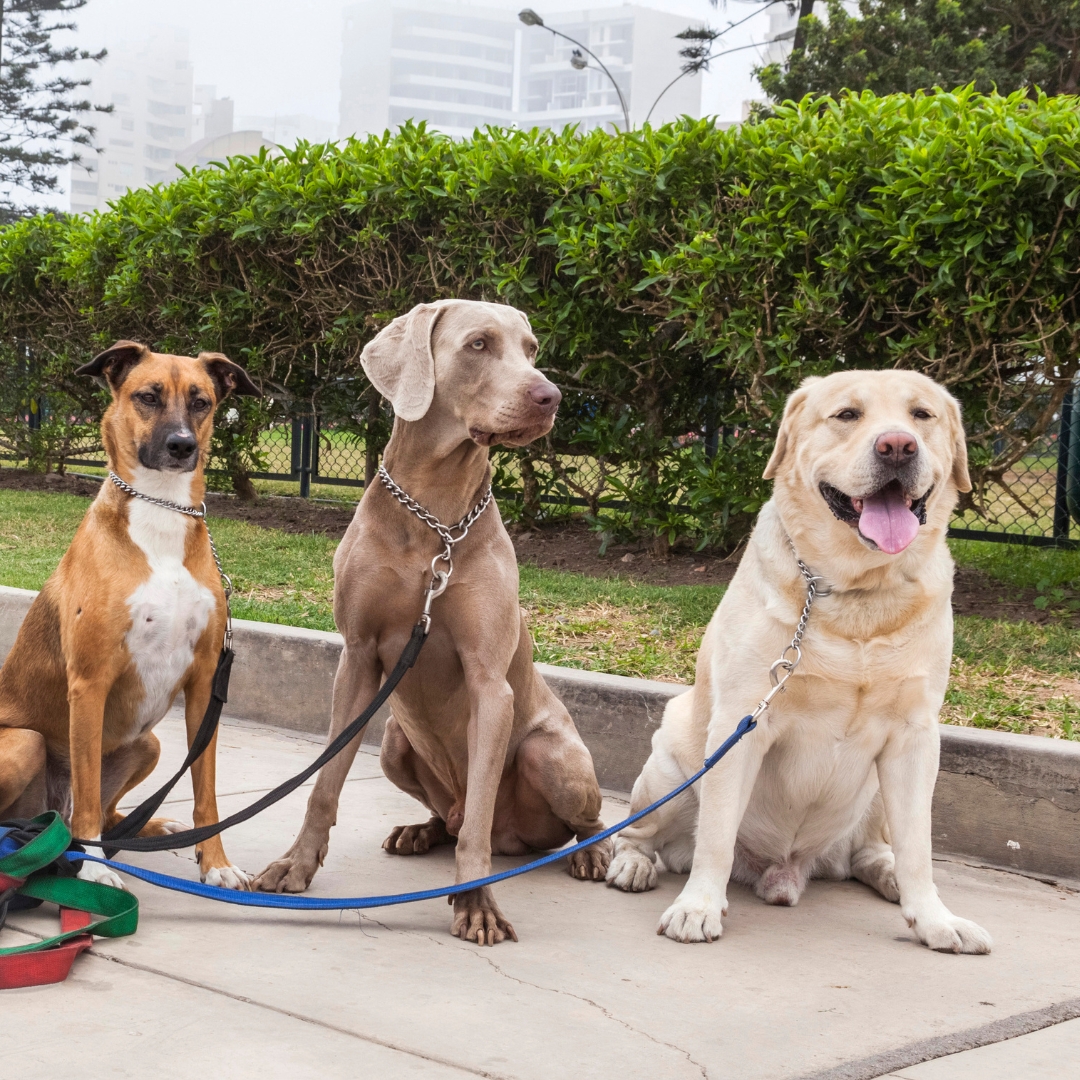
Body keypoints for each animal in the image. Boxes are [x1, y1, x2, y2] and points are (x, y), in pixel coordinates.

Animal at [0, 340, 258, 890]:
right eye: (148, 396)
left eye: (202, 401)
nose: (182, 446)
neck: (161, 510)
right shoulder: (89, 684)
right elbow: (87, 806)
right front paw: (94, 870)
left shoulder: (205, 685)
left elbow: (206, 793)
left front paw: (216, 863)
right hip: (26, 742)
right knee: (75, 810)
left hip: (148, 744)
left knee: (107, 812)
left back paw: (153, 826)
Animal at [254, 299, 611, 944]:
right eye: (478, 344)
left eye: (531, 348)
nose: (550, 396)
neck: (436, 517)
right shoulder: (357, 657)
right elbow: (325, 783)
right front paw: (297, 863)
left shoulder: (489, 683)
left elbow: (476, 827)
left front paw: (477, 905)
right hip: (395, 740)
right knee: (450, 816)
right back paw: (420, 830)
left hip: (551, 755)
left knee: (568, 819)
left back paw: (590, 852)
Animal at [606, 369, 992, 954]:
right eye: (847, 414)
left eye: (922, 415)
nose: (898, 446)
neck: (854, 594)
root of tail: (787, 870)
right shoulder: (742, 723)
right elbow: (715, 837)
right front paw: (698, 906)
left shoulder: (915, 738)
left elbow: (919, 850)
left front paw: (933, 918)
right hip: (670, 766)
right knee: (640, 830)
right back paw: (633, 864)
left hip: (877, 789)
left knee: (874, 851)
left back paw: (887, 877)